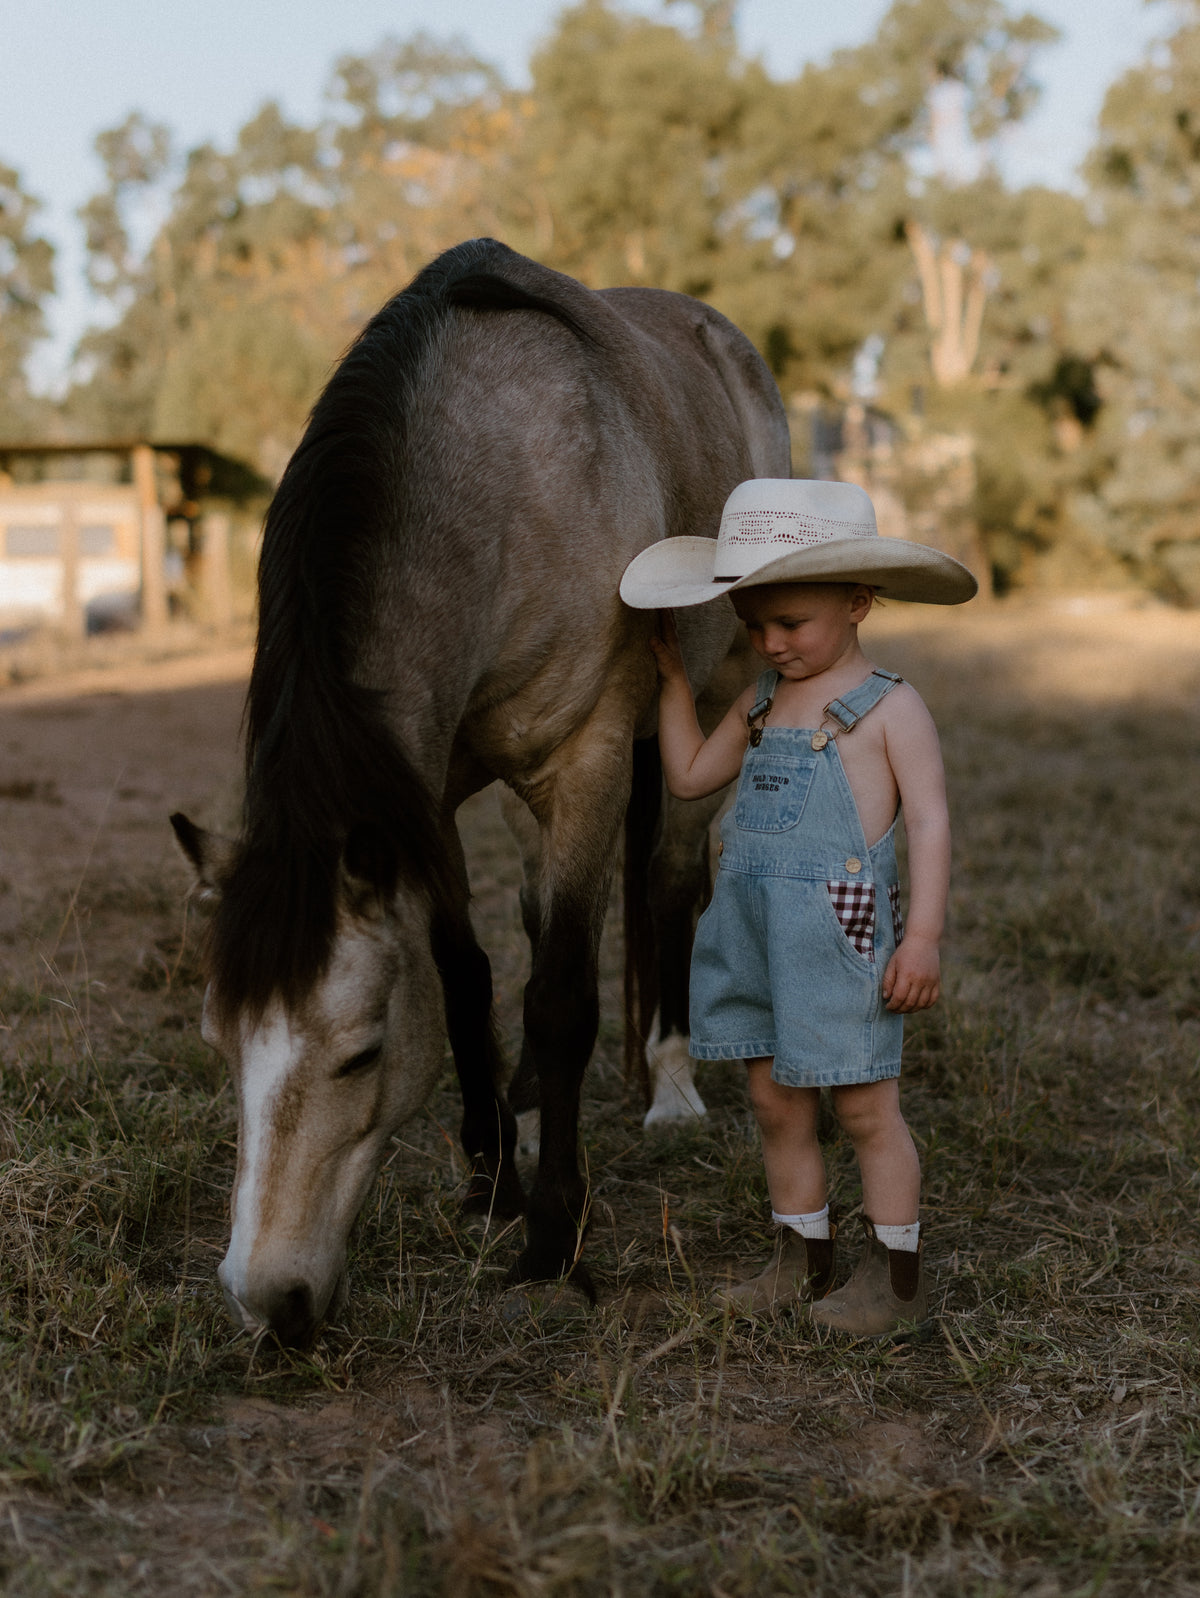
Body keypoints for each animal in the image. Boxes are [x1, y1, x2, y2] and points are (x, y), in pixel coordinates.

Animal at [171, 238, 790, 1346]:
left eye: (362, 1053)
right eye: (218, 1045)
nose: (268, 1300)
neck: (500, 485)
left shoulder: (587, 758)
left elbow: (561, 995)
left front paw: (551, 1238)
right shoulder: (425, 789)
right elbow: (467, 974)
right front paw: (494, 1175)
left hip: (710, 712)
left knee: (670, 883)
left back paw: (670, 1086)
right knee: (545, 912)